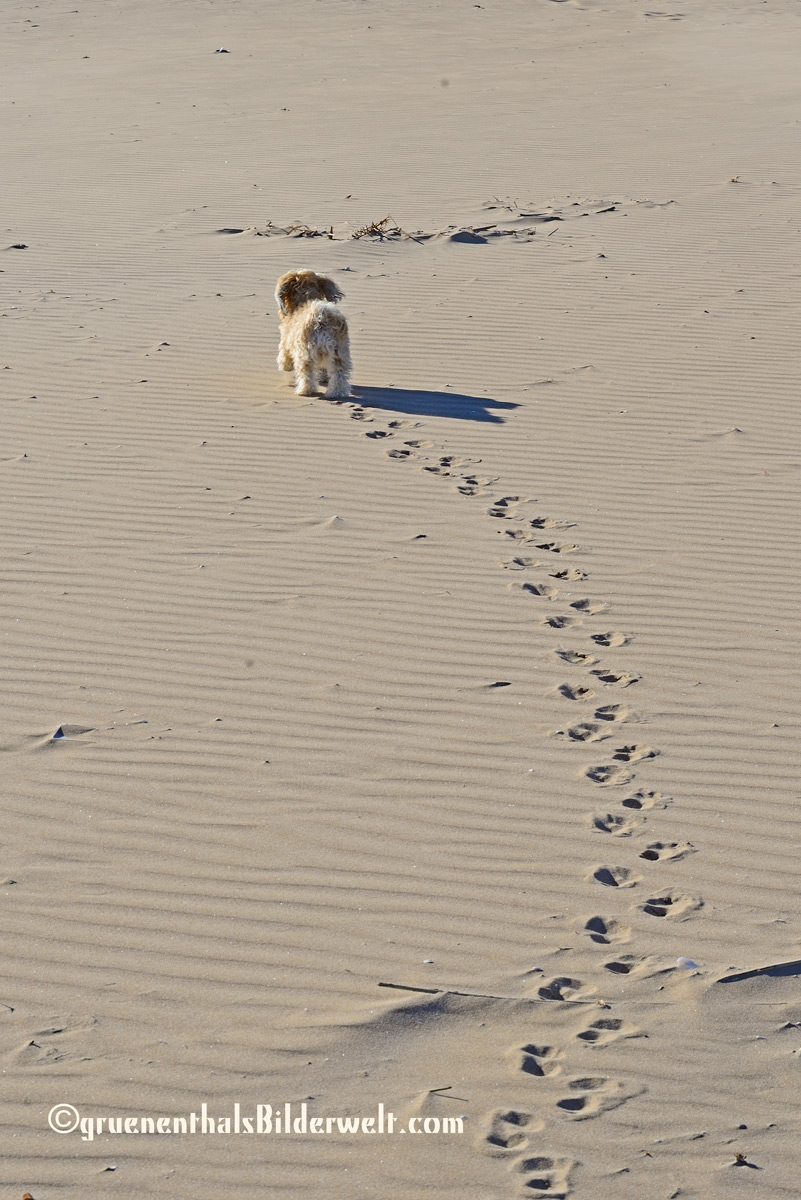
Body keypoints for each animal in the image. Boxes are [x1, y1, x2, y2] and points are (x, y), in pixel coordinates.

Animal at [275, 267, 350, 398]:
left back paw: (305, 391)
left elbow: (285, 358)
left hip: (305, 353)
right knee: (339, 373)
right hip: (340, 352)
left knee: (306, 374)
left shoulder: (286, 341)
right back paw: (337, 392)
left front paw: (285, 366)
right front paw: (324, 377)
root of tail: (321, 319)